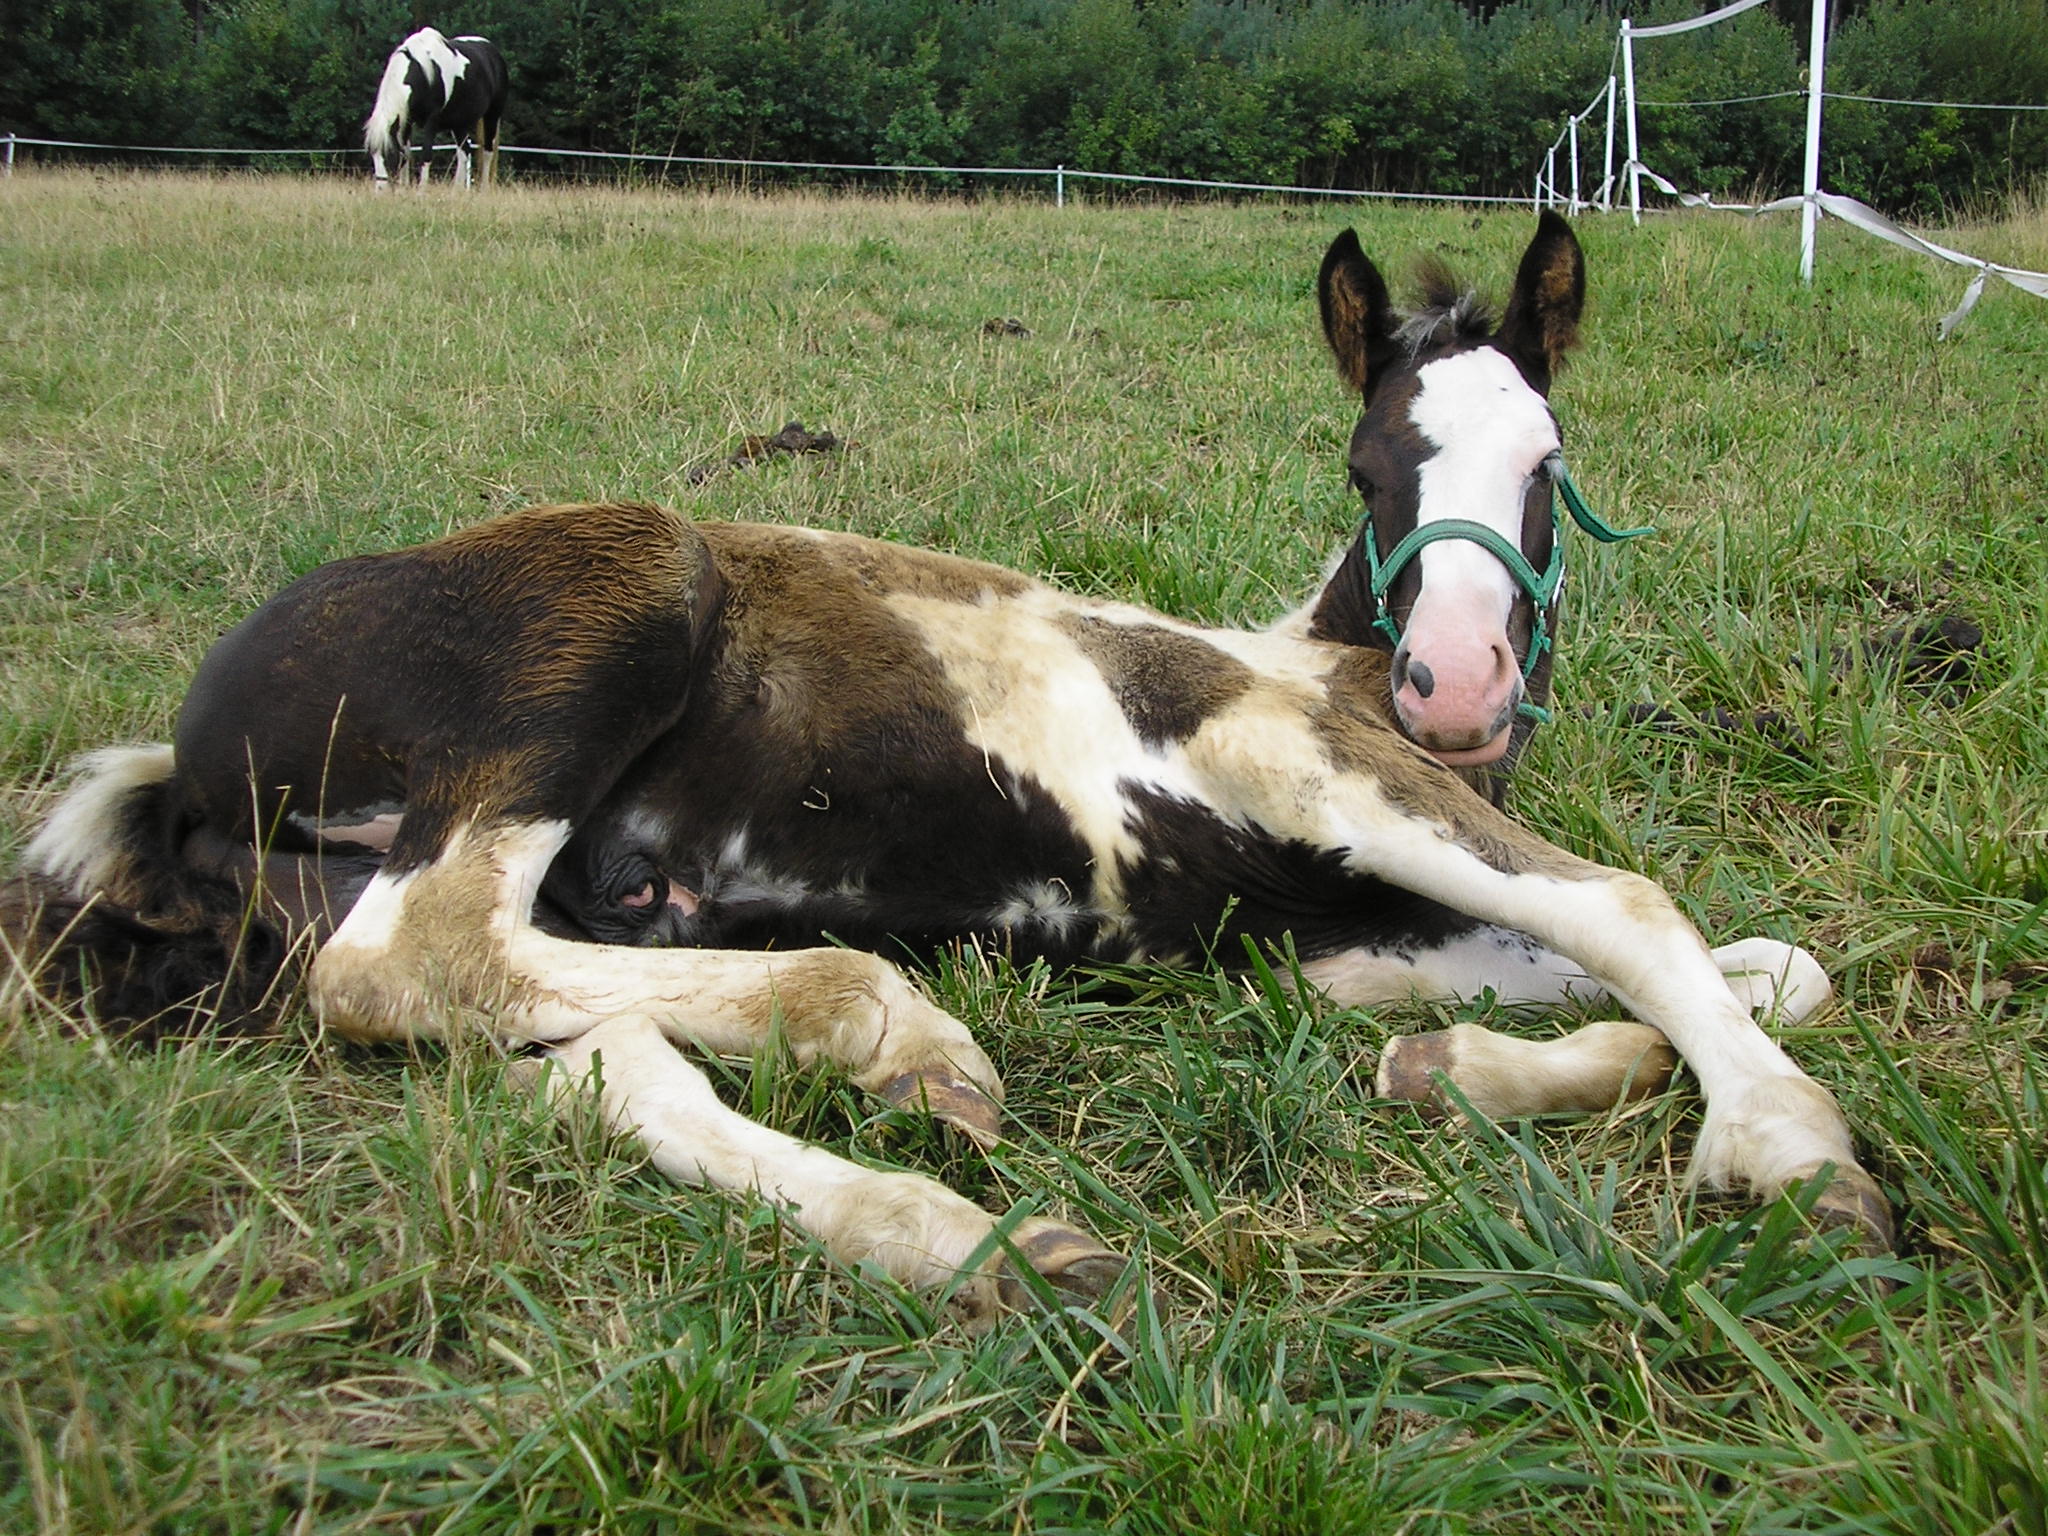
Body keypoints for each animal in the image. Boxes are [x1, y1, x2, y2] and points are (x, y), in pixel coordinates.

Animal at [8, 219, 1884, 1327]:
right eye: (1370, 463)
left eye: (1550, 465)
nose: (1458, 689)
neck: (1314, 667)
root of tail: (187, 753)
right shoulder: (1298, 762)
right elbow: (1638, 912)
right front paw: (1791, 1155)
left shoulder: (1332, 935)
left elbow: (1764, 968)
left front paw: (1452, 1072)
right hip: (620, 602)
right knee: (415, 954)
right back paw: (894, 1040)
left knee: (581, 1055)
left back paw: (977, 1234)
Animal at [362, 28, 505, 192]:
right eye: (373, 153)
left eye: (389, 153)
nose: (381, 191)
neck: (424, 74)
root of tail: (493, 51)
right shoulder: (406, 121)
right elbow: (406, 153)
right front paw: (403, 190)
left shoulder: (432, 121)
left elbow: (426, 154)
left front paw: (421, 191)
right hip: (459, 124)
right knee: (464, 152)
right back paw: (456, 192)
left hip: (492, 115)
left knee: (487, 152)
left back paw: (483, 190)